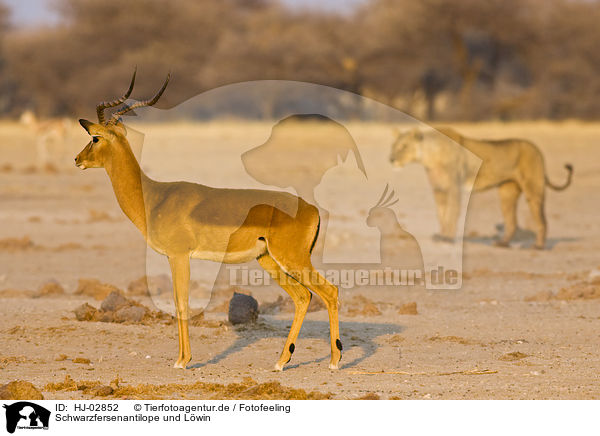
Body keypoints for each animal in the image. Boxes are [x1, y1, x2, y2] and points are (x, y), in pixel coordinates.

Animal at [75, 72, 342, 372]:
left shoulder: (179, 256)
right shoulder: (176, 257)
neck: (154, 198)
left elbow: (181, 303)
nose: (77, 159)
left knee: (329, 291)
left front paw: (182, 361)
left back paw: (334, 361)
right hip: (269, 260)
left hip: (292, 258)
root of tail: (312, 209)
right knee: (303, 297)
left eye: (95, 137)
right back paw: (281, 362)